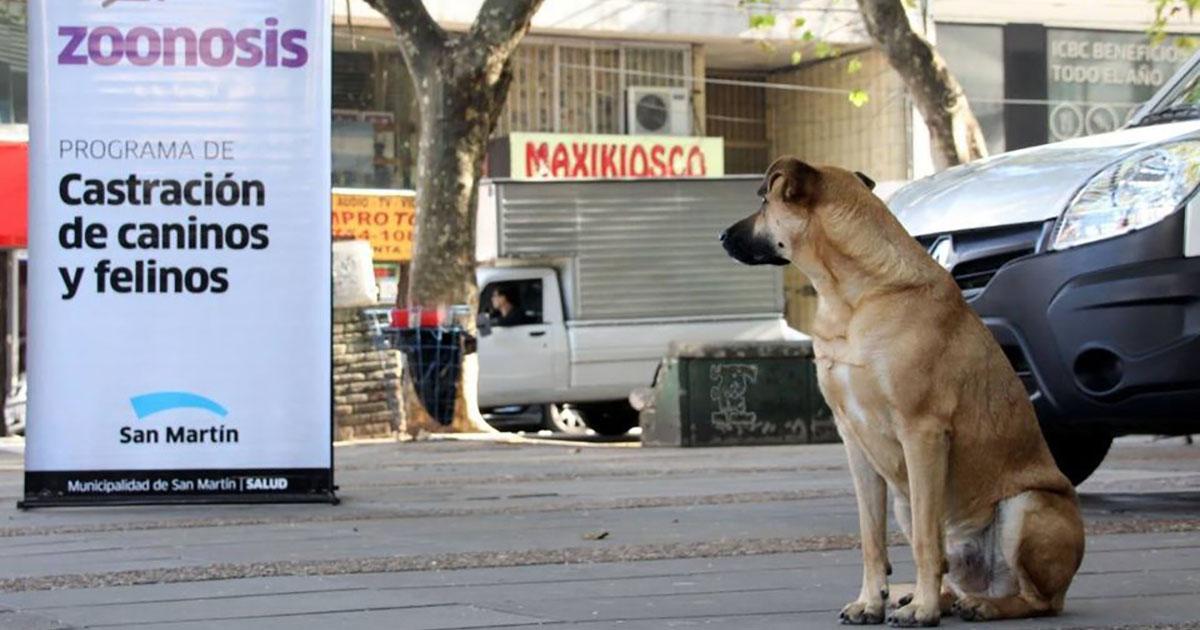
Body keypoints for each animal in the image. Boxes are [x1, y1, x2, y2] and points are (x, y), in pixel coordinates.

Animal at [720, 157, 1089, 624]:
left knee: (1038, 599)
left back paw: (979, 604)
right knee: (953, 573)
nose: (721, 237)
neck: (853, 297)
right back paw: (929, 597)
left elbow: (927, 543)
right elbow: (871, 539)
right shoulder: (854, 442)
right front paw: (871, 601)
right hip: (903, 501)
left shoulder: (922, 434)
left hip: (1027, 506)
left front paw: (922, 611)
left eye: (765, 202)